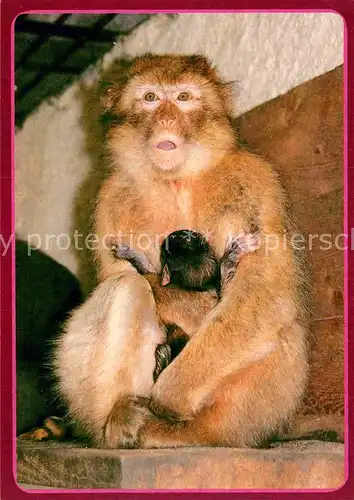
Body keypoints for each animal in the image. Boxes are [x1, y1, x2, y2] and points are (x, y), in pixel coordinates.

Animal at [92, 52, 310, 448]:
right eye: (150, 98)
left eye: (183, 98)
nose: (166, 118)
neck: (176, 180)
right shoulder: (110, 198)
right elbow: (121, 277)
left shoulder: (256, 178)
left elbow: (265, 296)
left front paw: (171, 394)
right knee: (123, 289)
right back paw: (123, 417)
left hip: (251, 412)